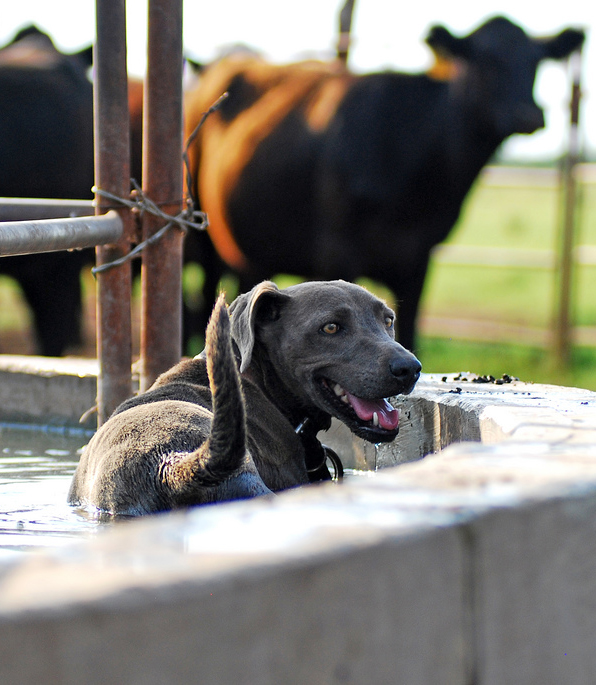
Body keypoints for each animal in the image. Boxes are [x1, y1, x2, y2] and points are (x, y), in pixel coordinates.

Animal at [185, 16, 584, 352]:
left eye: (536, 61)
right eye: (485, 60)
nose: (528, 114)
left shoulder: (418, 258)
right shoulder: (337, 251)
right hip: (205, 242)